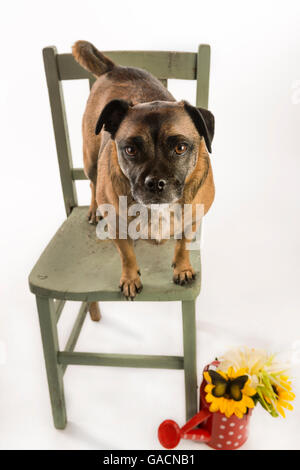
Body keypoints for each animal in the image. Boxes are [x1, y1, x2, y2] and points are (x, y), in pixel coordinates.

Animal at [72, 39, 214, 298]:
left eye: (180, 148)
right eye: (130, 150)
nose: (155, 182)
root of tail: (115, 69)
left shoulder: (193, 220)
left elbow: (183, 245)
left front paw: (182, 268)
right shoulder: (116, 226)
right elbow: (127, 255)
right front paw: (130, 278)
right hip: (90, 160)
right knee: (92, 183)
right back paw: (94, 209)